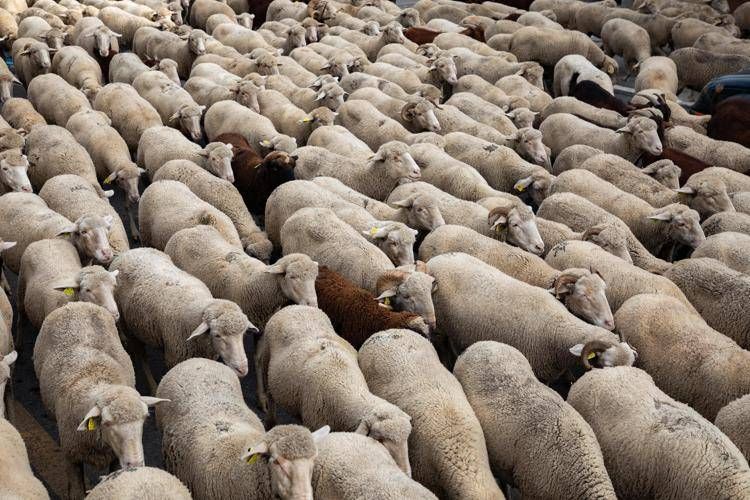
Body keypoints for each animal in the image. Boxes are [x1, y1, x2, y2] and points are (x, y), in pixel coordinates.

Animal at [33, 302, 167, 499]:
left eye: (145, 419)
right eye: (108, 423)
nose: (135, 464)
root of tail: (75, 304)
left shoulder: (114, 458)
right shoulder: (71, 456)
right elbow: (76, 491)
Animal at [266, 180, 418, 266]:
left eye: (413, 243)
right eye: (393, 243)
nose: (410, 264)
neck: (365, 225)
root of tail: (285, 184)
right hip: (274, 233)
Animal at [425, 252, 635, 379]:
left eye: (605, 290)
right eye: (583, 295)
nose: (610, 323)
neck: (559, 330)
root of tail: (434, 260)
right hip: (440, 324)